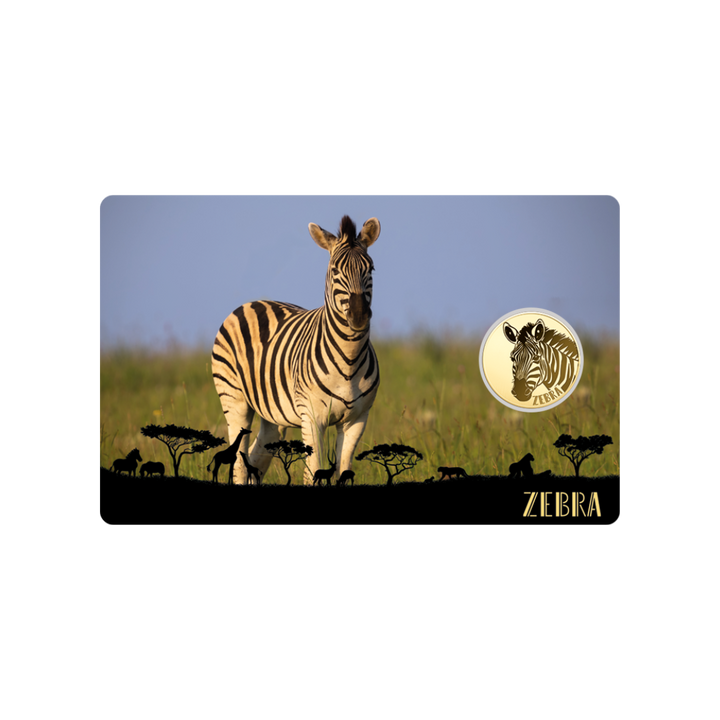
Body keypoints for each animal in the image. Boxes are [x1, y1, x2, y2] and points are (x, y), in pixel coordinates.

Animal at [211, 215, 381, 485]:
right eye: (334, 271)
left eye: (371, 269)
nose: (359, 316)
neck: (350, 360)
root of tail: (251, 302)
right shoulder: (311, 417)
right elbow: (312, 473)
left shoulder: (357, 419)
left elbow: (343, 470)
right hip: (234, 400)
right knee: (239, 463)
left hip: (272, 417)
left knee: (255, 458)